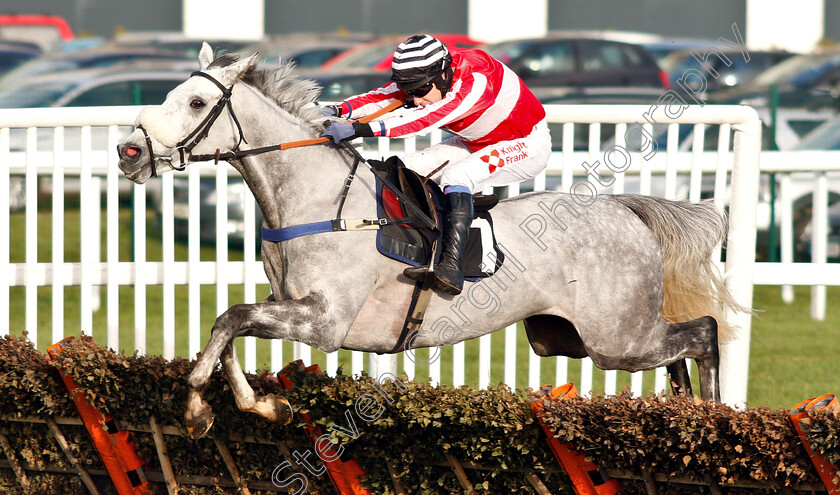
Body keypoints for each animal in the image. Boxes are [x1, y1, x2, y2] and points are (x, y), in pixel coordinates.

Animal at [116, 42, 740, 438]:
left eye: (196, 103)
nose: (130, 151)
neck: (314, 199)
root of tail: (625, 209)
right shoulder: (288, 305)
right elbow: (228, 327)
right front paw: (264, 407)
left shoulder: (323, 322)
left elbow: (231, 319)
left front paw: (197, 408)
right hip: (565, 338)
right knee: (680, 347)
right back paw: (686, 409)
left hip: (616, 336)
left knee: (703, 333)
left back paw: (711, 417)